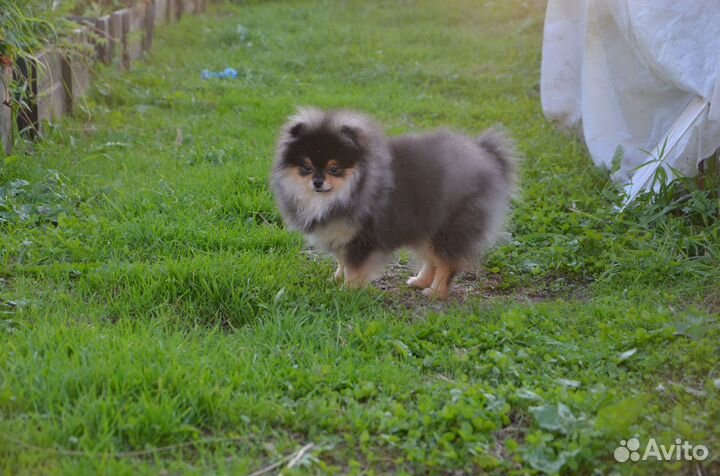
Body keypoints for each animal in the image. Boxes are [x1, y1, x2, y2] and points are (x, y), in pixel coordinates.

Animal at [272, 109, 516, 300]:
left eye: (334, 169)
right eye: (306, 167)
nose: (317, 181)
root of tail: (487, 157)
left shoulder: (362, 237)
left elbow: (354, 267)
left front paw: (348, 290)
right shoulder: (341, 235)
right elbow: (342, 261)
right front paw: (336, 279)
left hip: (448, 228)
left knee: (447, 262)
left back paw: (436, 292)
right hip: (424, 228)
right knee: (432, 260)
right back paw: (420, 281)